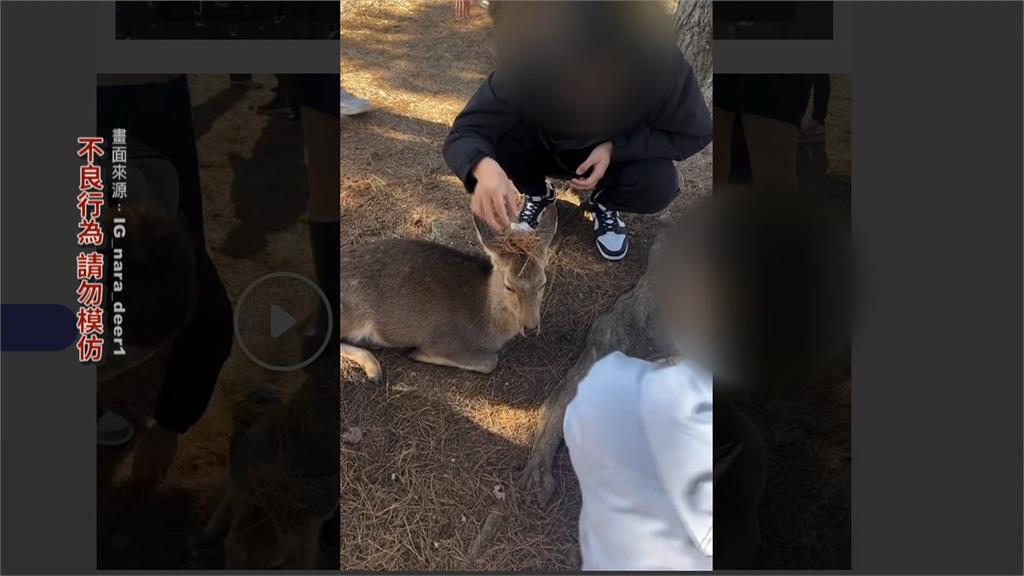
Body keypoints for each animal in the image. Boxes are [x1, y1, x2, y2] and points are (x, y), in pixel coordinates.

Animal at [339, 202, 557, 381]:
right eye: (509, 285)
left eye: (543, 283)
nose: (531, 328)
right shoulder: (446, 339)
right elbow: (489, 361)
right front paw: (417, 353)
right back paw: (374, 368)